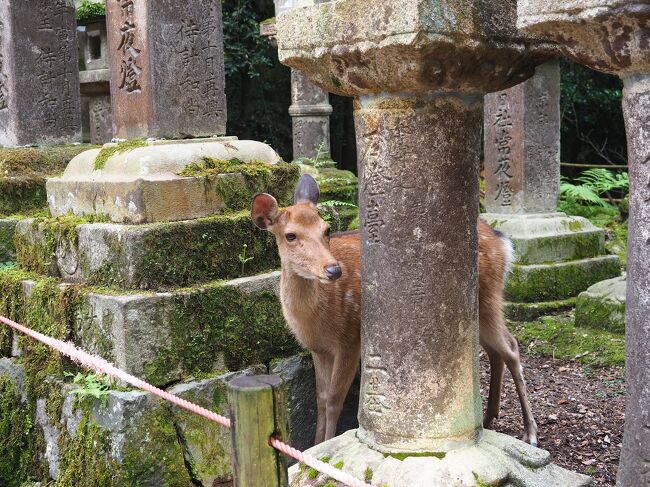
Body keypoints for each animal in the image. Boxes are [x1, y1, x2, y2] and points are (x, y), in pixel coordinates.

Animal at [251, 173, 536, 448]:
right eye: (290, 235)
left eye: (327, 229)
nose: (333, 269)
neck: (314, 320)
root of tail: (503, 242)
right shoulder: (318, 348)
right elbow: (320, 399)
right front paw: (313, 447)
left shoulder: (349, 338)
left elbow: (333, 399)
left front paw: (326, 446)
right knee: (495, 351)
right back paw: (488, 418)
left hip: (488, 296)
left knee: (511, 347)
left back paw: (530, 432)